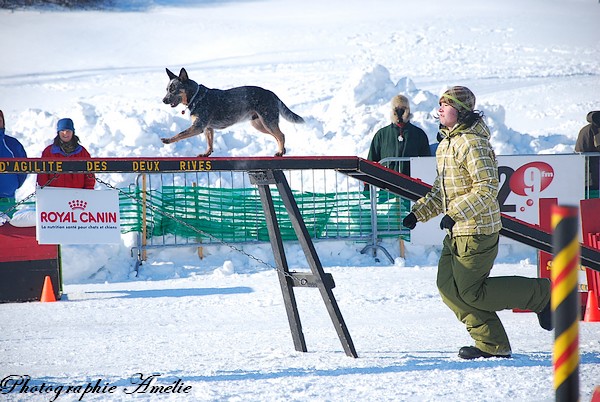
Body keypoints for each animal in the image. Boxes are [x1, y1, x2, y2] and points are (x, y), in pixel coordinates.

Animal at [161, 66, 304, 156]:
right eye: (167, 89)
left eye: (173, 90)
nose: (163, 100)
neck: (196, 96)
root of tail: (272, 93)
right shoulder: (208, 128)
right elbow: (209, 143)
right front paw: (206, 153)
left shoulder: (198, 126)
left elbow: (180, 134)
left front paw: (168, 140)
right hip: (259, 124)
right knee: (277, 136)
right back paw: (282, 150)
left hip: (267, 121)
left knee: (281, 135)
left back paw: (280, 151)